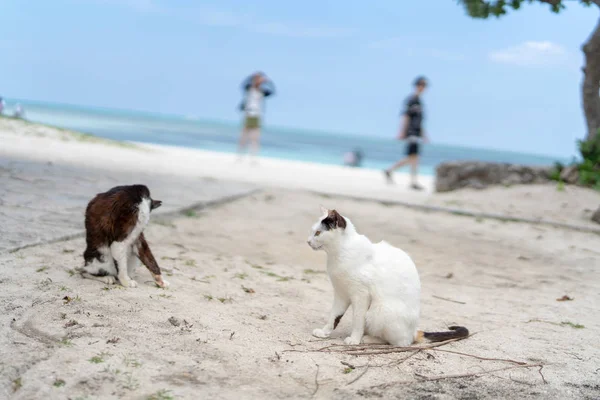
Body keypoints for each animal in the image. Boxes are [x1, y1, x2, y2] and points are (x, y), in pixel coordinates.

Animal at [310, 208, 468, 346]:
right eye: (313, 231)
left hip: (379, 311)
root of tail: (413, 331)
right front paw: (324, 332)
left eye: (318, 233)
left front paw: (354, 339)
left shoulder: (361, 295)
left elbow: (357, 319)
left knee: (399, 342)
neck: (338, 253)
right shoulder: (341, 293)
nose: (308, 241)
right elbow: (334, 316)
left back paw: (368, 339)